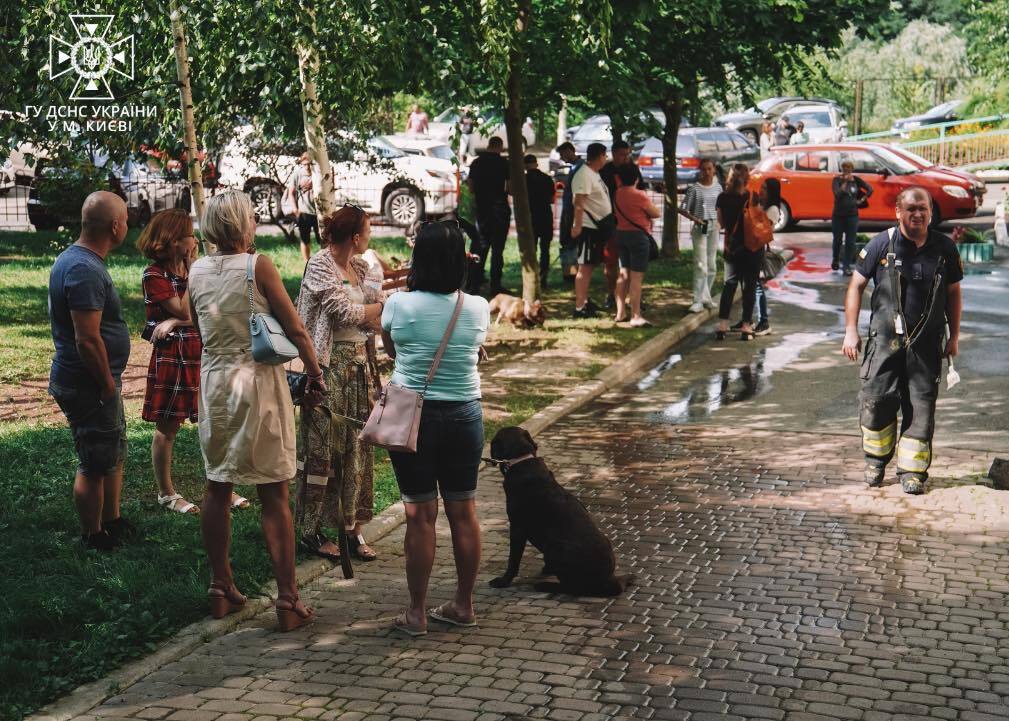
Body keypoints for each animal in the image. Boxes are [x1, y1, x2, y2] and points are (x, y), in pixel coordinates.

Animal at [486, 425, 629, 596]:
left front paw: (503, 581)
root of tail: (609, 580)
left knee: (572, 587)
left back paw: (545, 585)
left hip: (556, 547)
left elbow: (513, 560)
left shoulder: (517, 528)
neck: (522, 459)